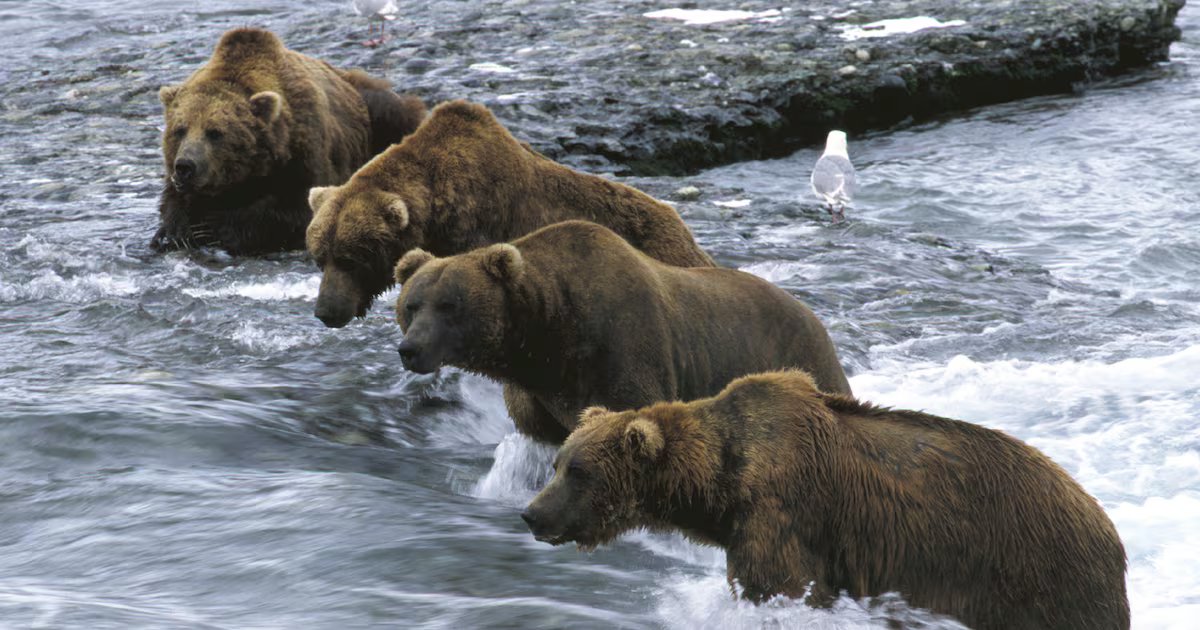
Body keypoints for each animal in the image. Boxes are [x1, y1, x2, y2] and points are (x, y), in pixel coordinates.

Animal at [150, 27, 426, 255]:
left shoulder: (304, 148)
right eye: (180, 130)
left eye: (215, 132)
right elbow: (172, 203)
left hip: (379, 113)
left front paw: (214, 226)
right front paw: (176, 233)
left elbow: (301, 207)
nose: (185, 166)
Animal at [393, 220, 852, 444]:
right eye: (411, 305)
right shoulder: (537, 392)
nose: (410, 349)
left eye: (450, 306)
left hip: (799, 358)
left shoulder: (623, 349)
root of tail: (814, 315)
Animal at [521, 370, 1130, 630]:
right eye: (557, 464)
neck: (720, 484)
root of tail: (1105, 522)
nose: (531, 513)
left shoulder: (782, 514)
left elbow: (777, 586)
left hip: (1035, 573)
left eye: (579, 471)